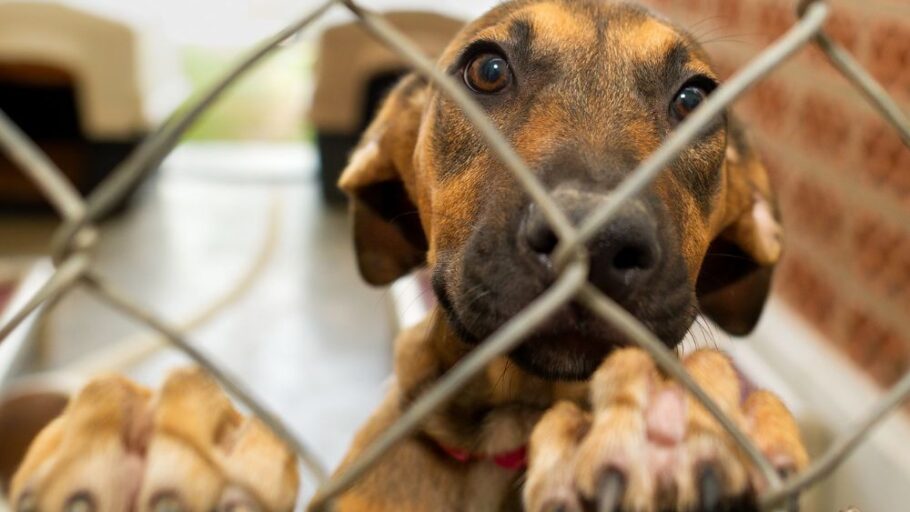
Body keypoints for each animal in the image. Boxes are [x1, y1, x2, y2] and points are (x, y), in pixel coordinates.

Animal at [10, 1, 808, 511]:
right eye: (487, 70)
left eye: (696, 100)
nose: (600, 239)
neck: (505, 433)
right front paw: (162, 434)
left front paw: (677, 422)